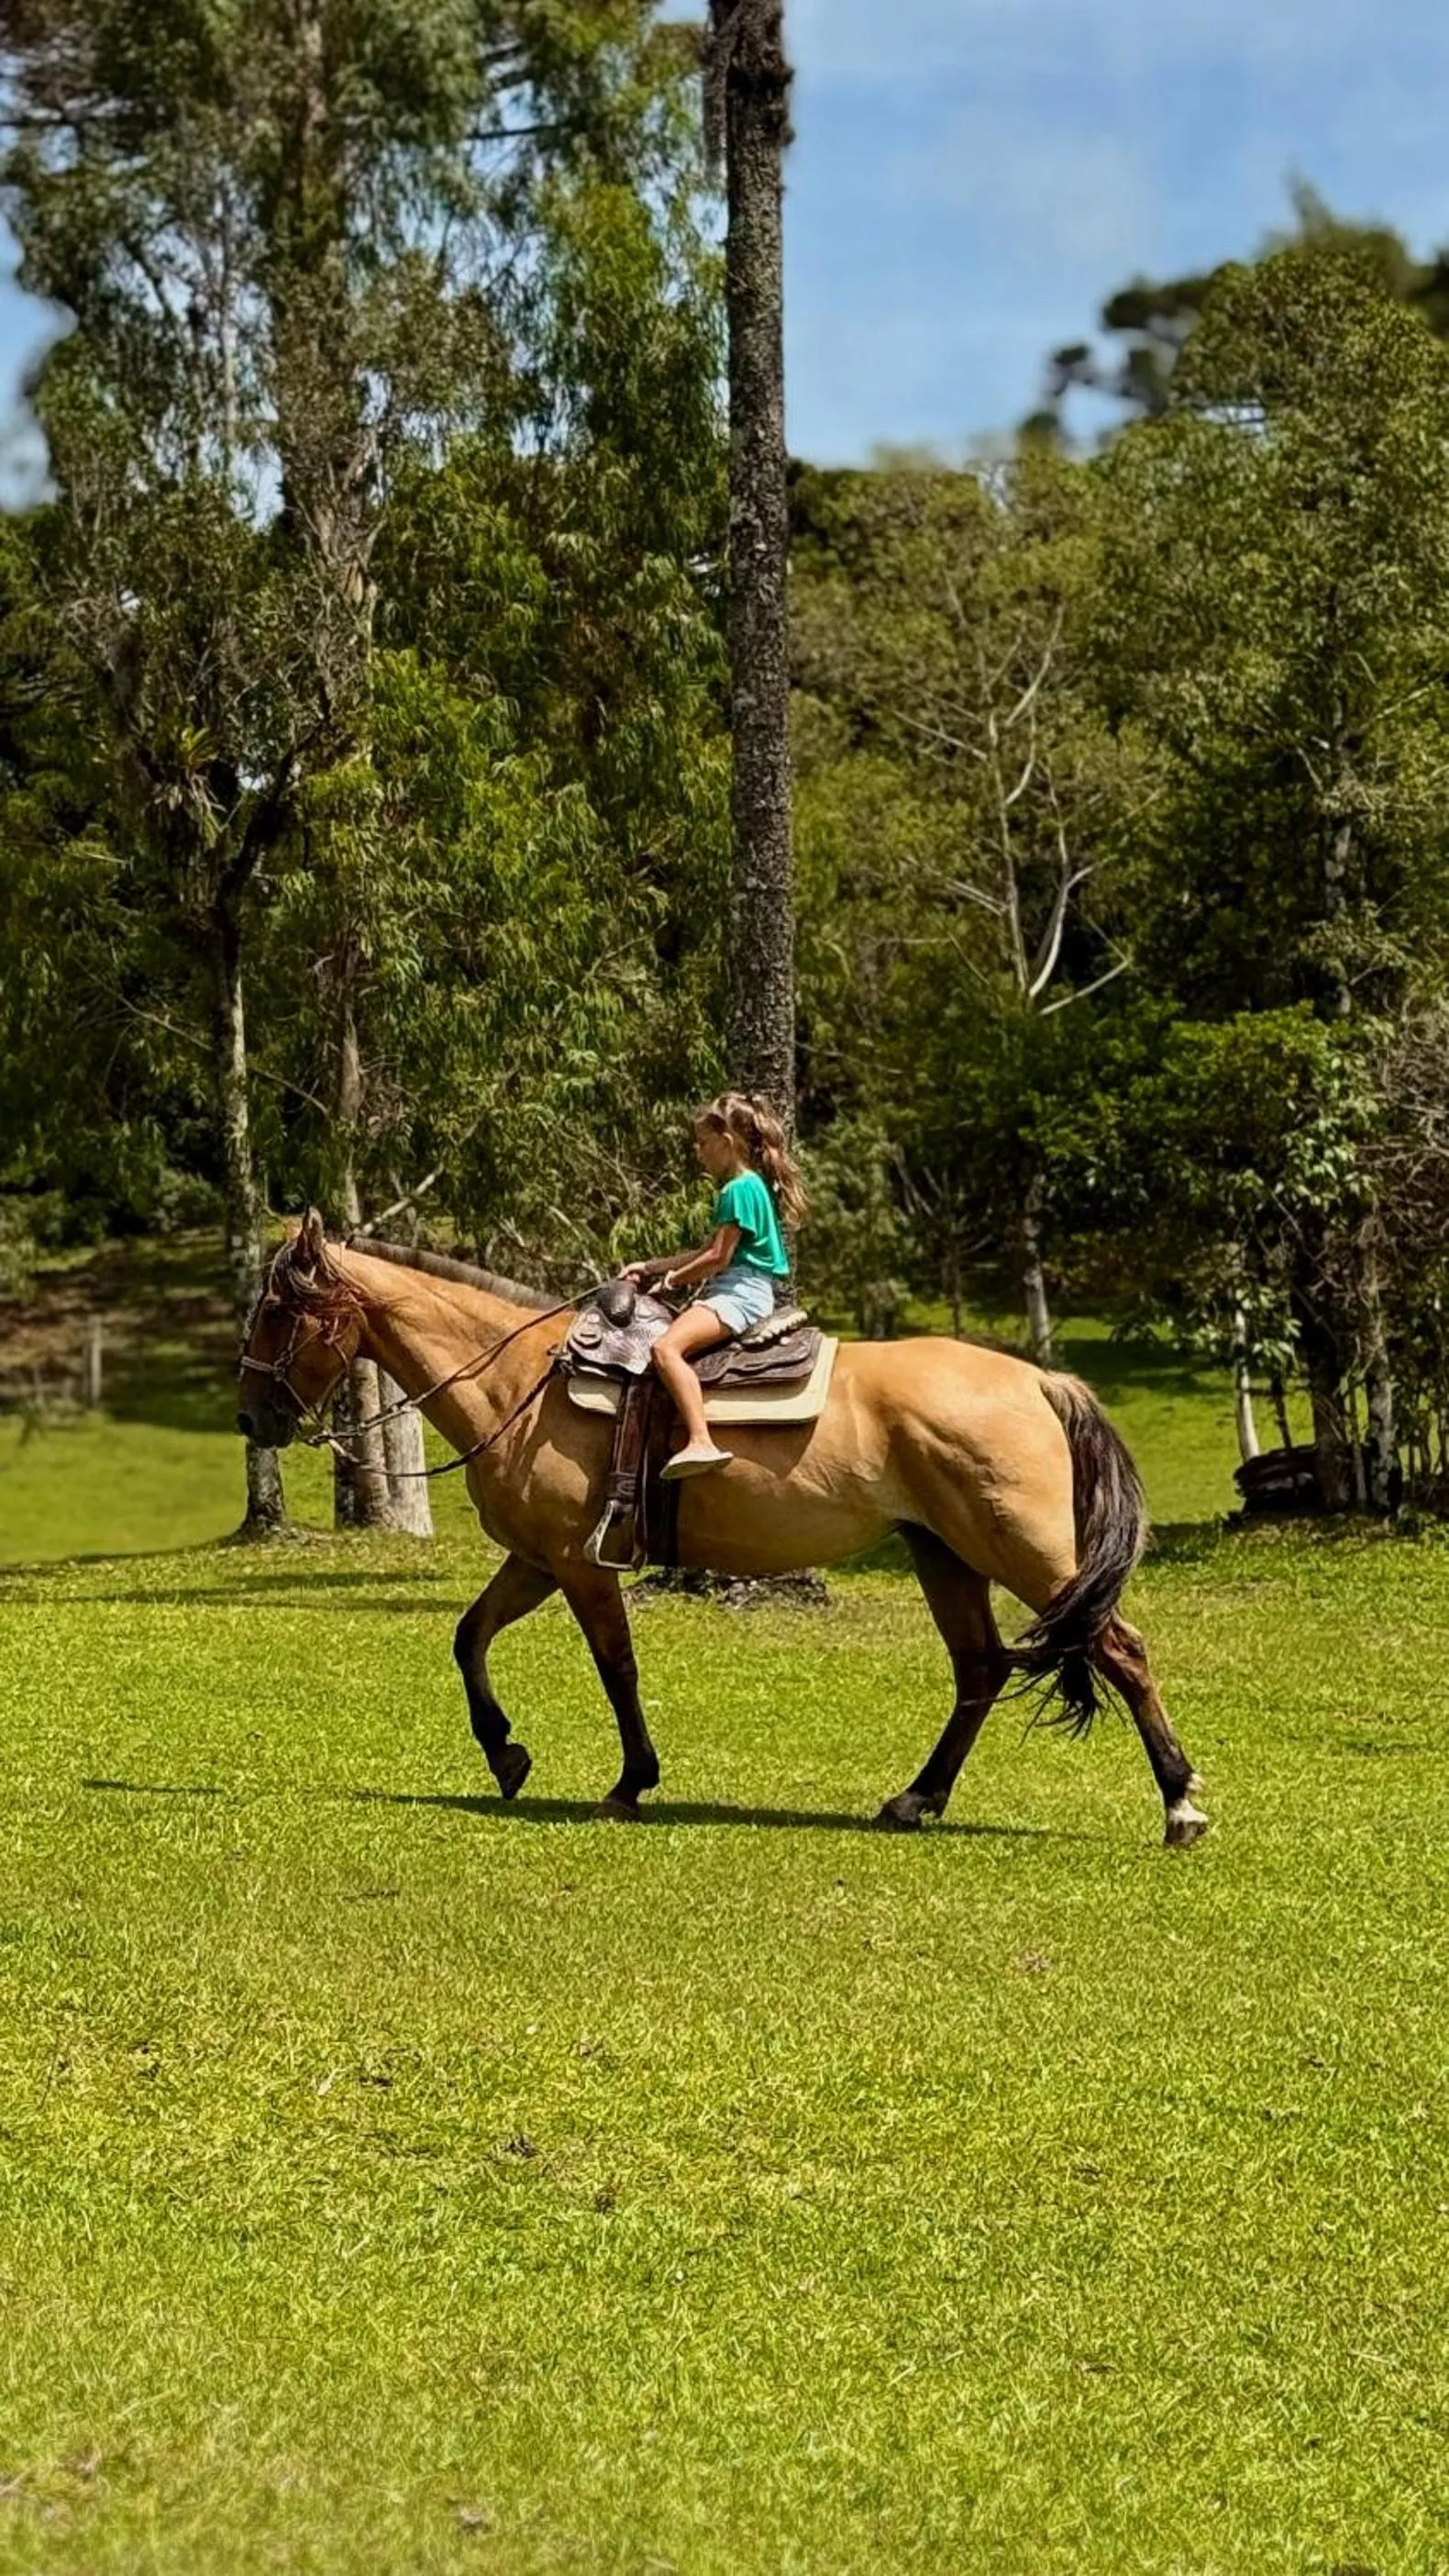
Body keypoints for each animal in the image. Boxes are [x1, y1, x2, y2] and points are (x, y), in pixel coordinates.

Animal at [236, 1212, 1209, 1846]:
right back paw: (916, 1800)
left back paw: (1181, 1806)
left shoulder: (579, 1565)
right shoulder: (537, 1561)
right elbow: (467, 1637)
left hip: (1024, 1551)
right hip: (946, 1554)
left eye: (277, 1312)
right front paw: (505, 1754)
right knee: (979, 1669)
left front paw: (630, 1782)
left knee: (1120, 1650)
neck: (522, 1383)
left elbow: (617, 1669)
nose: (251, 1417)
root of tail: (1040, 1379)